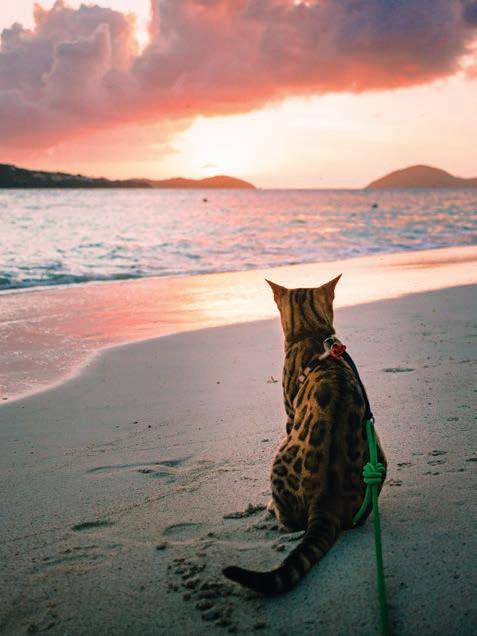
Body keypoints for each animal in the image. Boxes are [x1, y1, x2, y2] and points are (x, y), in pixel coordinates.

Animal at [223, 275, 387, 595]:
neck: (312, 333)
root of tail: (326, 500)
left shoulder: (289, 412)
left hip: (280, 454)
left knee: (291, 523)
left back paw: (272, 510)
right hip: (379, 456)